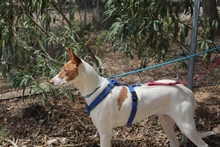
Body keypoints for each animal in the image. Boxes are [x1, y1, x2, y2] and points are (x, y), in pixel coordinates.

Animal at [49, 48, 215, 146]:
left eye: (64, 70)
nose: (50, 81)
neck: (97, 89)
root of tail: (187, 90)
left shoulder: (105, 133)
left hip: (186, 126)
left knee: (203, 144)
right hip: (166, 122)